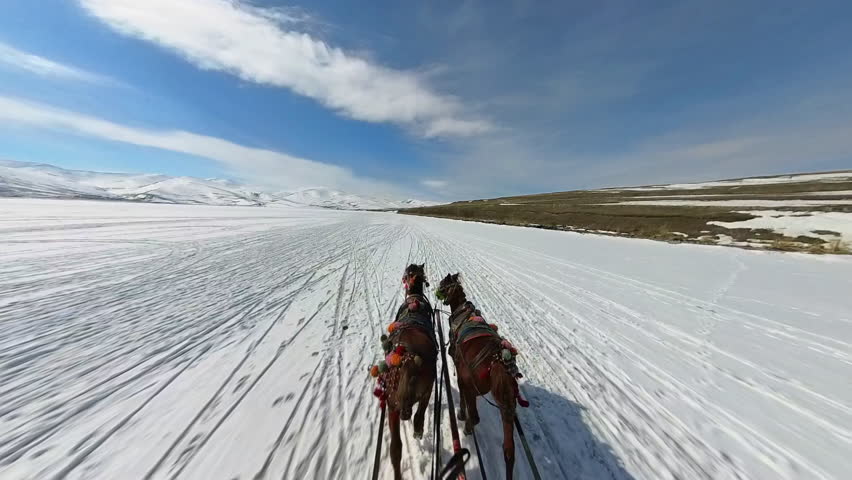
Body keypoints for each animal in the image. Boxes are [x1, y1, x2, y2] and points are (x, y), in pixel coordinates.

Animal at [371, 263, 438, 480]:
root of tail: (408, 357)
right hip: (422, 389)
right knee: (416, 419)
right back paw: (417, 429)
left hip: (393, 405)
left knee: (396, 448)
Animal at [435, 273, 528, 480]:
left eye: (443, 284)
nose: (437, 291)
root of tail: (497, 360)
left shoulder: (462, 378)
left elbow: (462, 398)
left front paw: (461, 414)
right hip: (507, 403)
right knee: (509, 450)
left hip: (473, 387)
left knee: (475, 416)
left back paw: (467, 427)